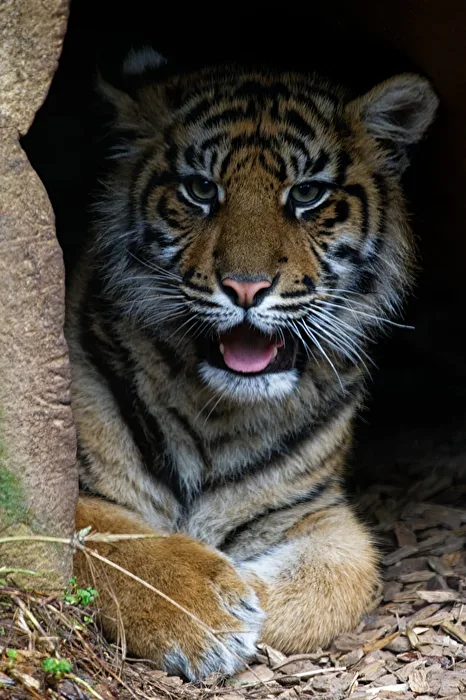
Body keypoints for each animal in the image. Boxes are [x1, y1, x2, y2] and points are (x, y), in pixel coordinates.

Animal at [66, 47, 438, 681]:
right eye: (199, 189)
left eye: (307, 194)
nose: (246, 287)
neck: (218, 416)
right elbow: (104, 536)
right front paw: (202, 610)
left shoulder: (313, 512)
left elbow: (343, 575)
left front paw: (244, 596)